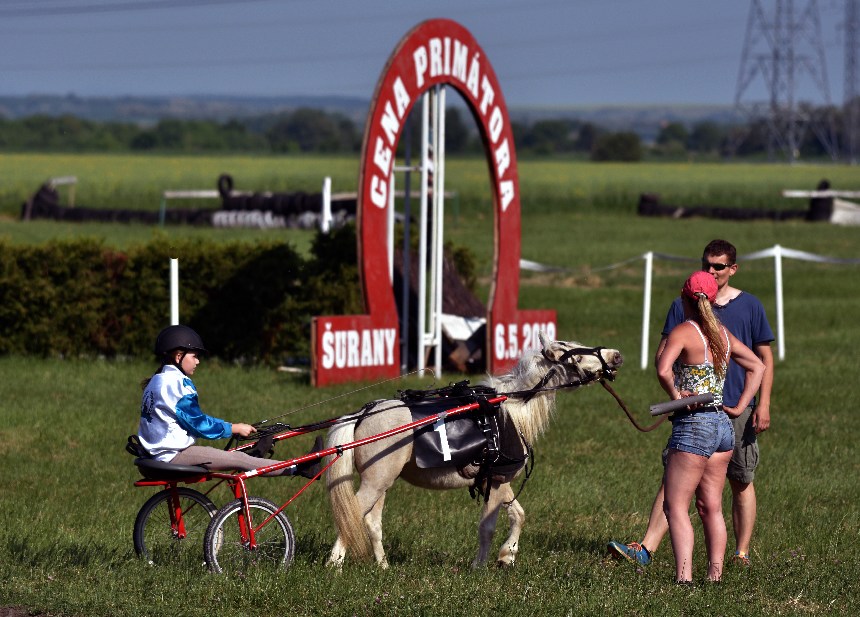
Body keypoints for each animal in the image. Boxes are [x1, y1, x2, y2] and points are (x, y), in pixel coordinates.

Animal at [326, 334, 620, 572]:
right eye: (571, 351)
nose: (616, 355)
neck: (510, 411)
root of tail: (364, 413)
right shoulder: (497, 483)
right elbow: (487, 527)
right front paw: (479, 566)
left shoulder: (499, 480)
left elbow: (519, 515)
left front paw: (507, 556)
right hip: (375, 483)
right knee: (351, 516)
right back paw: (334, 565)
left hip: (382, 484)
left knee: (371, 522)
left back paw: (383, 566)